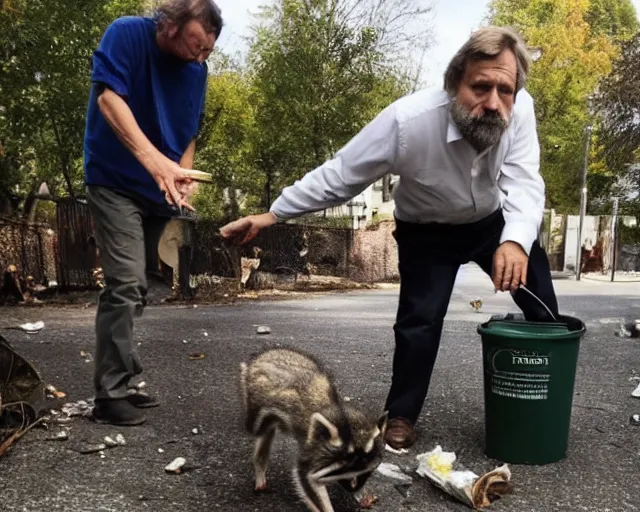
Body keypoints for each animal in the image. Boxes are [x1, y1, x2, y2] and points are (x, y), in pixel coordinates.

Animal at [240, 346, 388, 510]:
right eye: (345, 470)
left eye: (363, 476)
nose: (353, 490)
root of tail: (265, 354)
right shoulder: (315, 456)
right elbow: (308, 478)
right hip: (256, 400)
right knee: (260, 429)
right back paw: (260, 463)